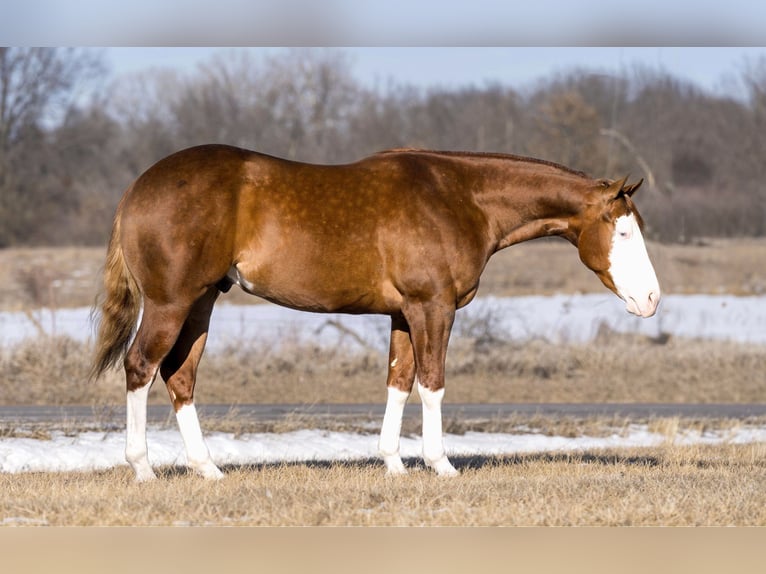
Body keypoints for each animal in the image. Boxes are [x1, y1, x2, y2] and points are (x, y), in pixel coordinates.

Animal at [91, 144, 660, 482]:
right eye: (623, 230)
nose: (652, 299)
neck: (459, 198)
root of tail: (137, 188)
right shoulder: (434, 308)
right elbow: (432, 383)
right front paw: (440, 464)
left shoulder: (405, 314)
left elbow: (399, 381)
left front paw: (393, 464)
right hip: (171, 303)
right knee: (141, 367)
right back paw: (142, 469)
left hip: (202, 302)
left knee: (179, 376)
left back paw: (208, 469)